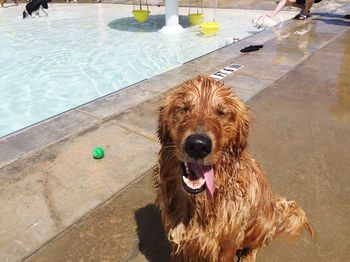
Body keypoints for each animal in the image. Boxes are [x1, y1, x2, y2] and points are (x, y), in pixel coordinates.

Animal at [153, 74, 312, 260]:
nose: (198, 145)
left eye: (222, 113)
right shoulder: (179, 241)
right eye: (183, 108)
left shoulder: (228, 245)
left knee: (255, 245)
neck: (200, 203)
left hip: (262, 224)